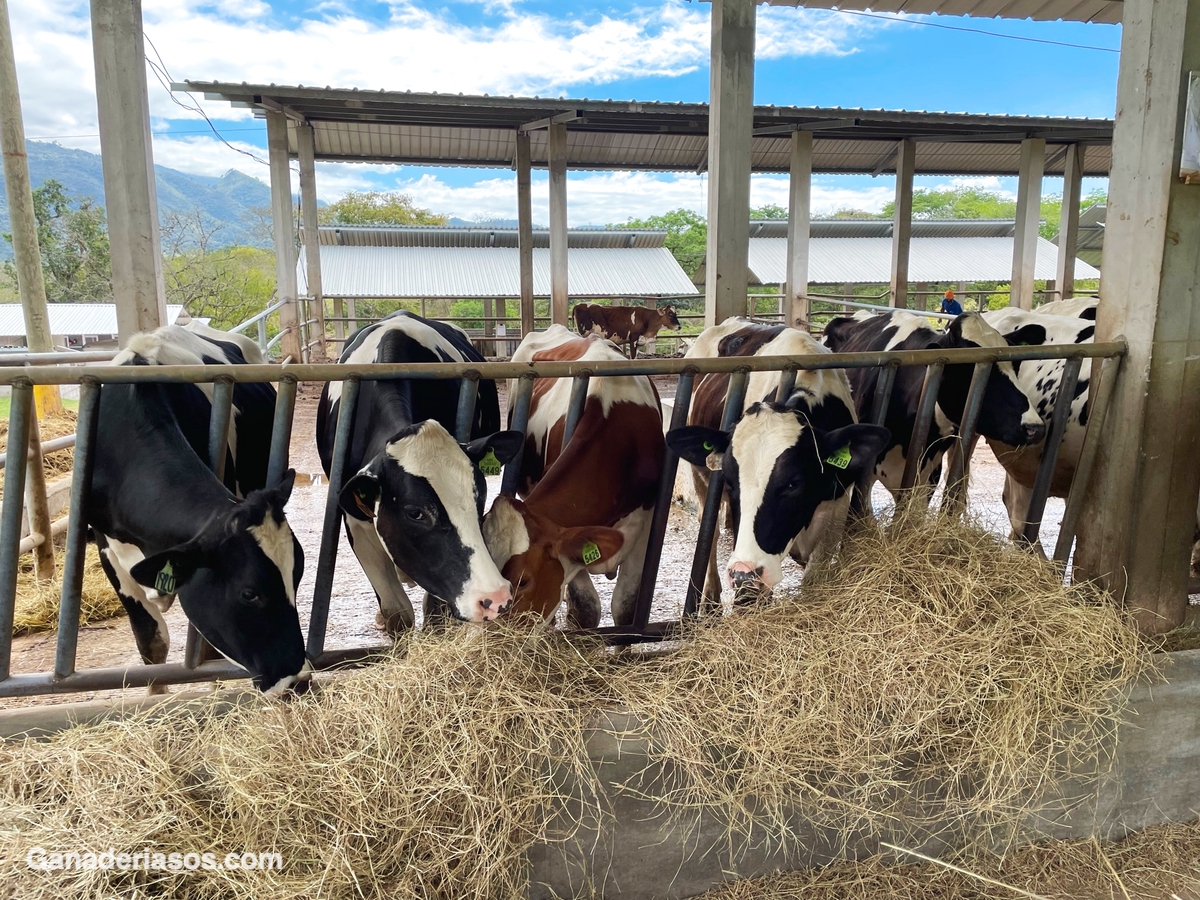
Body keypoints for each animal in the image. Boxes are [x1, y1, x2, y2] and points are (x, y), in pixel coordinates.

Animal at [91, 324, 312, 696]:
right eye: (249, 593)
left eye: (297, 576)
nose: (297, 680)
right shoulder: (105, 546)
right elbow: (150, 640)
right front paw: (156, 696)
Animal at [316, 309, 523, 633]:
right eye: (415, 512)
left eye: (480, 499)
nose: (496, 597)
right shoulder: (356, 520)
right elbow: (397, 612)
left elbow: (435, 614)